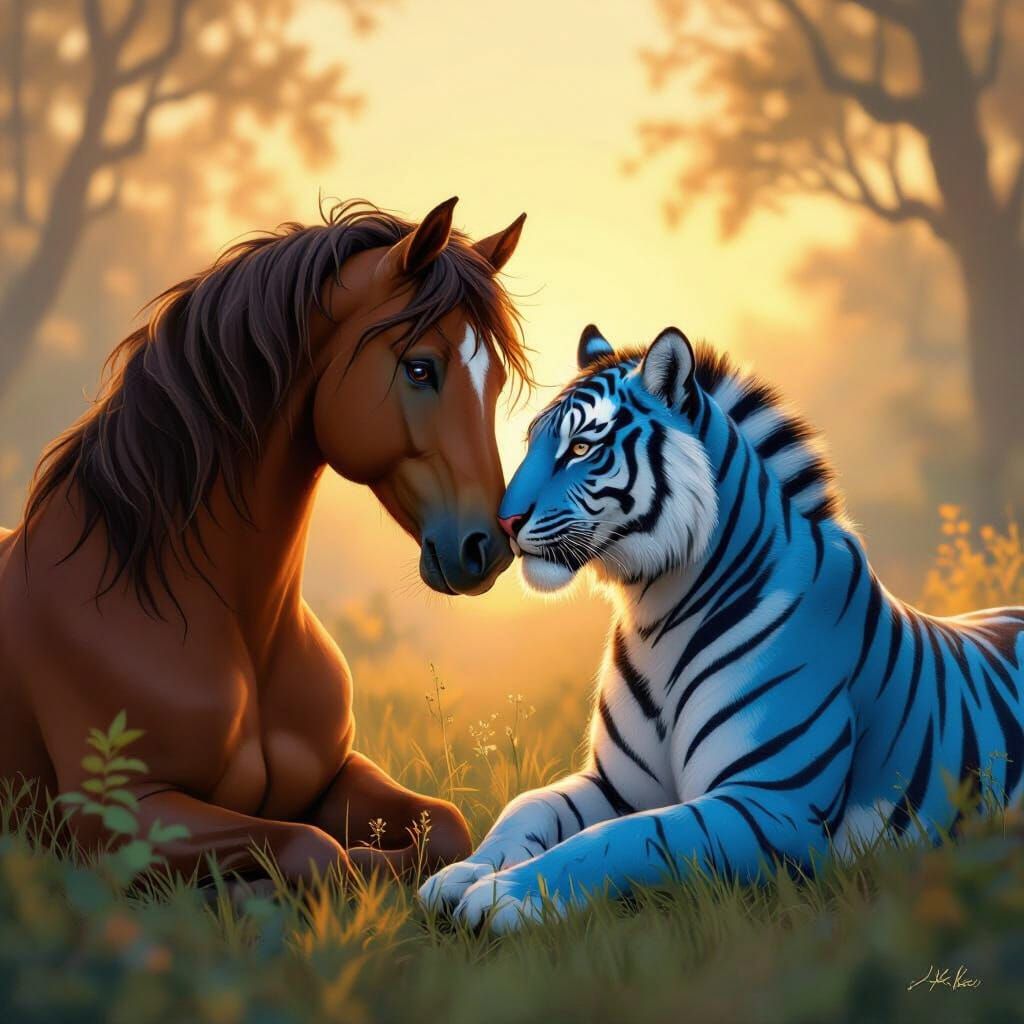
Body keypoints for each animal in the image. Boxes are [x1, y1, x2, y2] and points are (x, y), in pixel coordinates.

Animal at [0, 196, 530, 883]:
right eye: (420, 368)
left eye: (494, 381)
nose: (486, 549)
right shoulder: (116, 816)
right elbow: (316, 850)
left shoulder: (336, 774)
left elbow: (447, 826)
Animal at [418, 323, 1024, 933]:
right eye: (533, 444)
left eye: (583, 448)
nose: (503, 523)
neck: (655, 613)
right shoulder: (615, 783)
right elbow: (530, 806)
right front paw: (460, 875)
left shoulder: (771, 803)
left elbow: (624, 836)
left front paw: (506, 896)